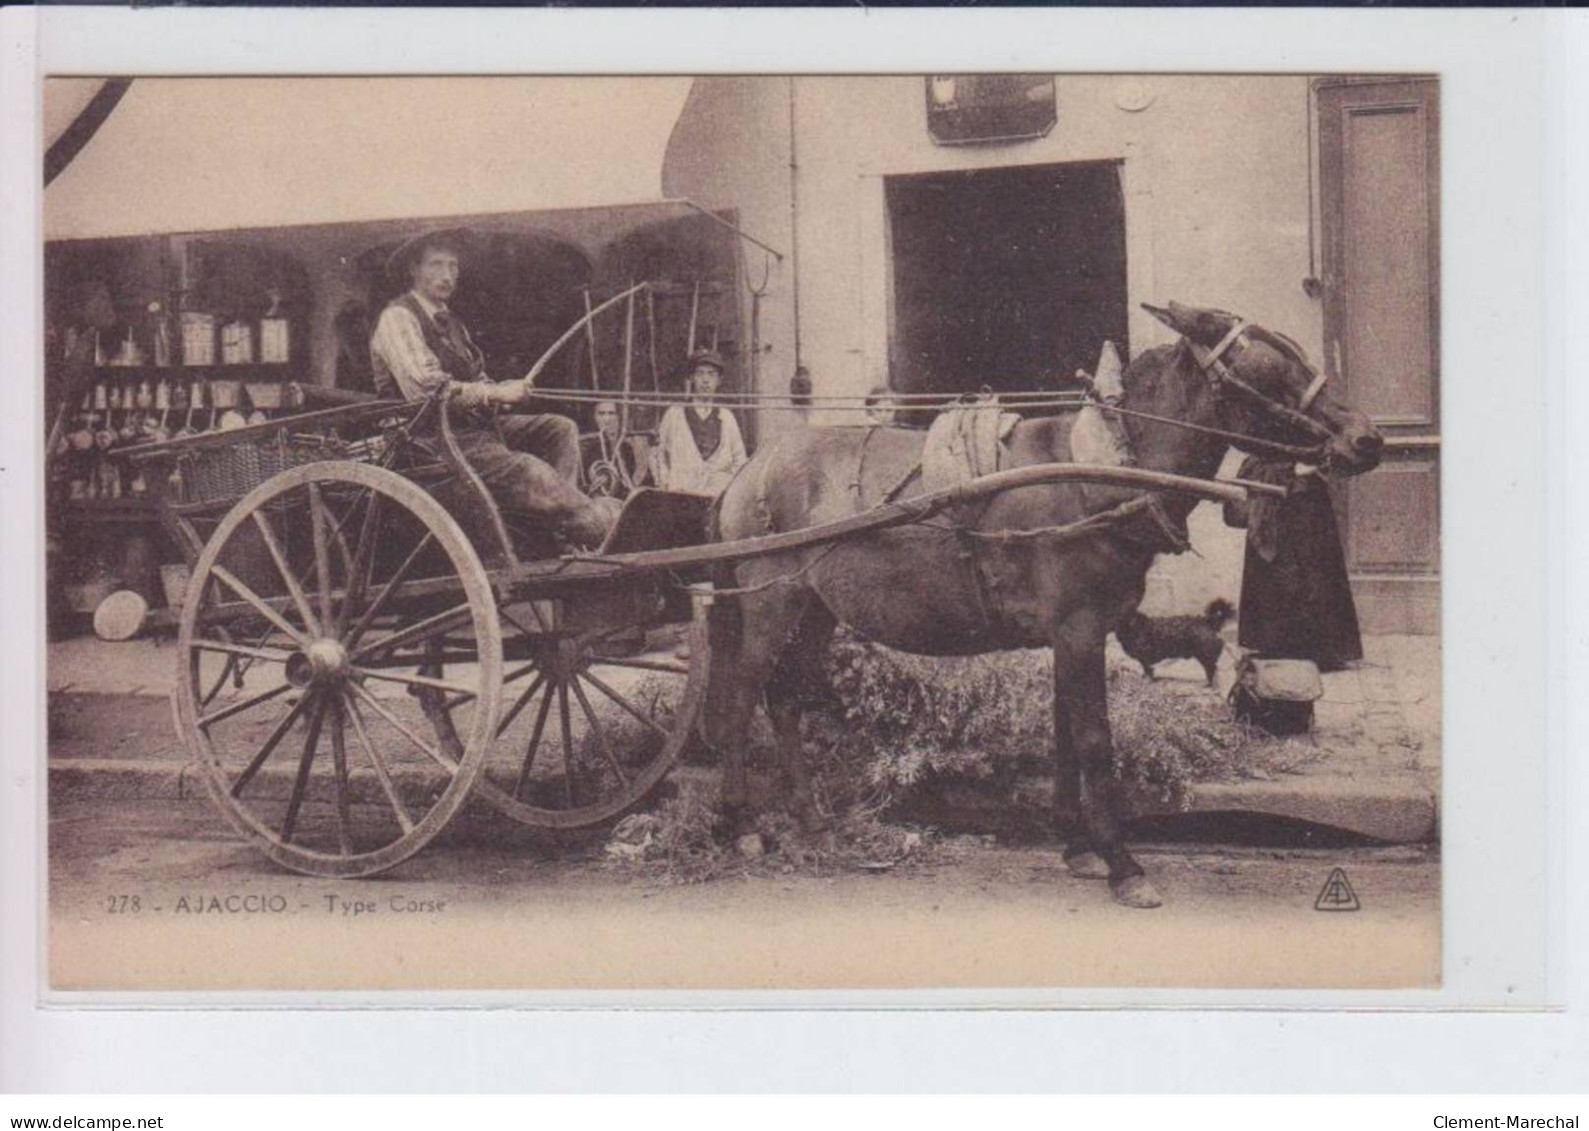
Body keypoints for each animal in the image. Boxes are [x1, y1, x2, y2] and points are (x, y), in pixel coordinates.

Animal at [702, 300, 1385, 908]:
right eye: (1269, 366)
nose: (1369, 438)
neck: (1104, 469)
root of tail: (747, 471)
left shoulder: (1070, 632)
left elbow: (1064, 734)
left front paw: (1077, 845)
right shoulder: (1079, 628)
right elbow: (1094, 740)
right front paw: (1123, 863)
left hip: (817, 608)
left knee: (785, 699)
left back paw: (812, 822)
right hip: (770, 601)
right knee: (739, 698)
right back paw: (743, 825)